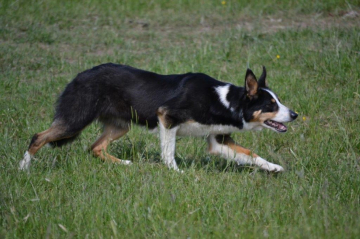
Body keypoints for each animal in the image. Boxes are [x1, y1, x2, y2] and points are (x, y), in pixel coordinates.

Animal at [18, 63, 296, 172]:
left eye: (278, 101)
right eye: (270, 104)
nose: (295, 114)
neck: (224, 101)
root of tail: (79, 75)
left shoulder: (218, 141)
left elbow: (252, 155)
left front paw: (274, 168)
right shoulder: (167, 117)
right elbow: (168, 152)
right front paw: (176, 173)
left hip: (120, 127)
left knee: (94, 147)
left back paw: (124, 164)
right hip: (75, 119)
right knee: (37, 137)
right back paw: (23, 167)